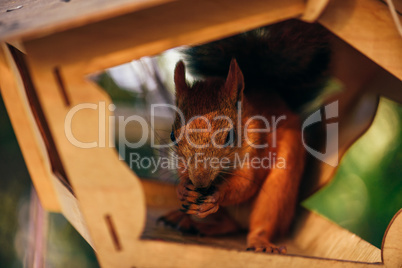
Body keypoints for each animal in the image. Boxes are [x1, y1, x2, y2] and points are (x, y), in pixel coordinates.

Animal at [157, 19, 330, 252]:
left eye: (230, 136)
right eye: (172, 136)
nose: (201, 184)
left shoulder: (259, 149)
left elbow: (246, 185)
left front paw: (218, 195)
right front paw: (183, 189)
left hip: (279, 192)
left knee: (260, 223)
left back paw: (261, 242)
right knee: (226, 224)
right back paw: (188, 221)